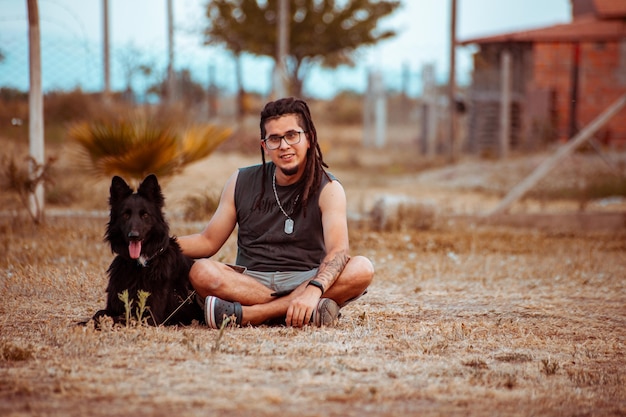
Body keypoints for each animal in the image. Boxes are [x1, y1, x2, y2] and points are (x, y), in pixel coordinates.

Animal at [92, 174, 202, 326]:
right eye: (125, 215)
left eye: (144, 215)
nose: (133, 236)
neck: (139, 264)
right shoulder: (113, 306)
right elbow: (98, 314)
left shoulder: (149, 316)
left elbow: (119, 318)